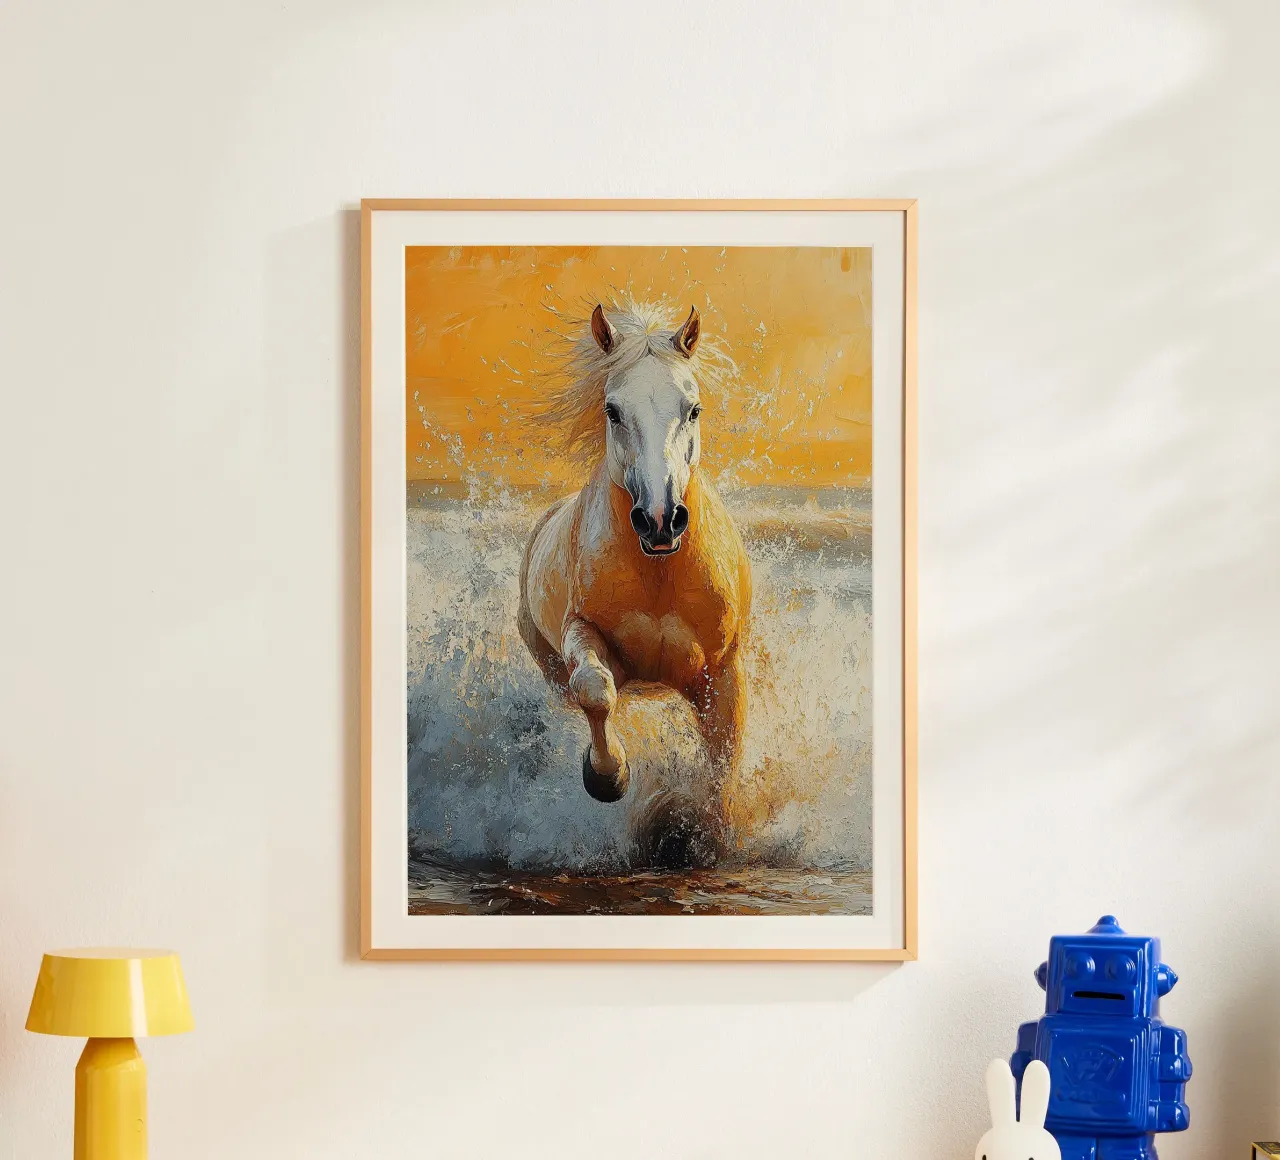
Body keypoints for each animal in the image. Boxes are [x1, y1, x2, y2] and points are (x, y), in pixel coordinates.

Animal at [517, 300, 752, 821]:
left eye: (693, 409)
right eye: (613, 410)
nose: (660, 519)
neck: (659, 576)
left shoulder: (722, 676)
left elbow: (723, 764)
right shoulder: (583, 632)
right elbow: (594, 688)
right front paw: (609, 775)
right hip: (549, 667)